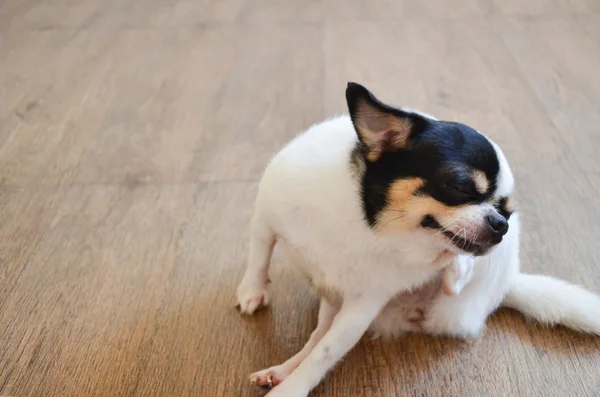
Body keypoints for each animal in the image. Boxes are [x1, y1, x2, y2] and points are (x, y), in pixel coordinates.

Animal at [233, 82, 600, 394]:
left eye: (507, 212)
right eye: (460, 185)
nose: (501, 225)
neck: (371, 227)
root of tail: (509, 282)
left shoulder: (361, 308)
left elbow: (325, 353)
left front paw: (290, 391)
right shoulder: (267, 212)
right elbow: (259, 253)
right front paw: (252, 291)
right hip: (331, 295)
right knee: (314, 335)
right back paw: (280, 369)